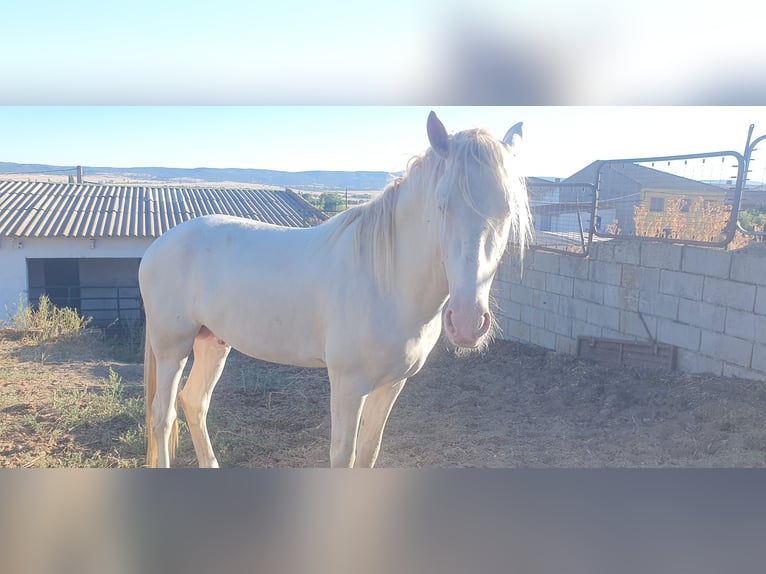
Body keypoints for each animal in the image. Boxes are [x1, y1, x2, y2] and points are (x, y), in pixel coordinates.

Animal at [140, 111, 536, 468]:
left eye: (508, 210)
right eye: (441, 205)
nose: (468, 323)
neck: (385, 282)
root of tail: (158, 244)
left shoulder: (391, 385)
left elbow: (368, 453)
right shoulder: (348, 386)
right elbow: (343, 456)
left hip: (213, 342)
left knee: (194, 403)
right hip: (172, 348)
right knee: (162, 415)